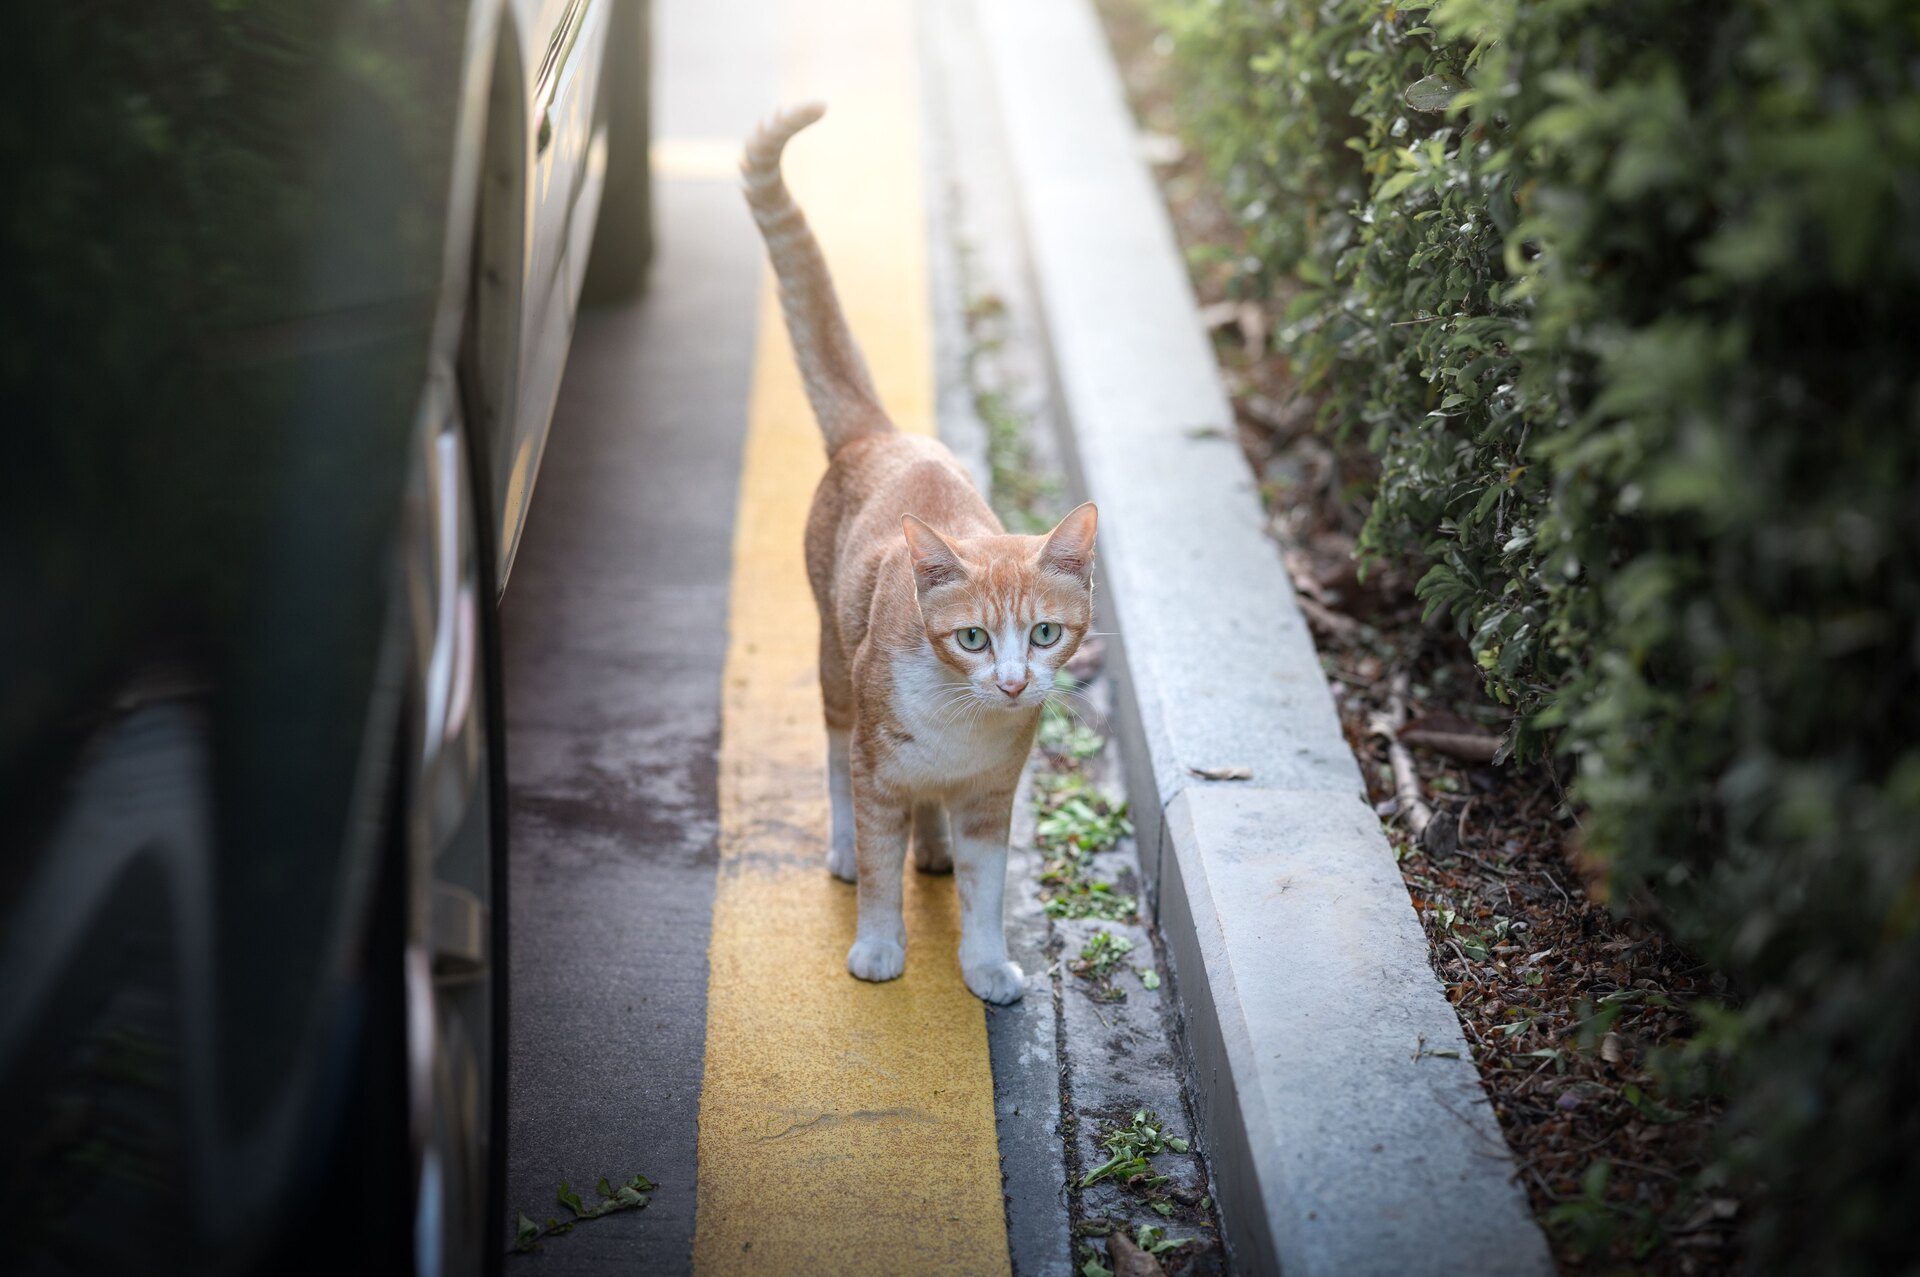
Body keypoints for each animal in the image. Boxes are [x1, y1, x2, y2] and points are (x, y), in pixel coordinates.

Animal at [737, 104, 1098, 998]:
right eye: (971, 637)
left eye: (1046, 633)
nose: (1014, 682)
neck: (961, 723)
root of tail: (881, 434)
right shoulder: (879, 772)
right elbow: (876, 865)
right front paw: (878, 946)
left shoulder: (991, 797)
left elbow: (987, 888)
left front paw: (986, 963)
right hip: (835, 662)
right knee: (834, 758)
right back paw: (844, 847)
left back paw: (932, 849)